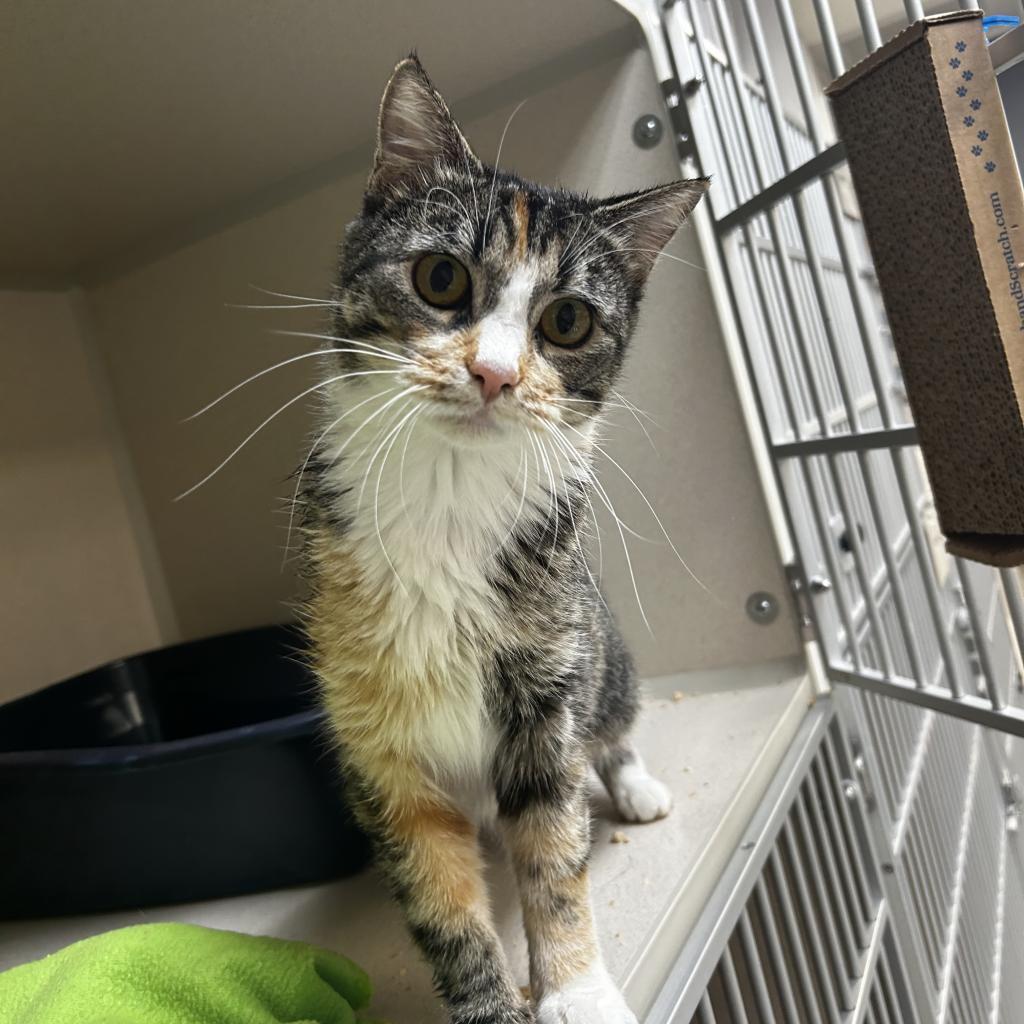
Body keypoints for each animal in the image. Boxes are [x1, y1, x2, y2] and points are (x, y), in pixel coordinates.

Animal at [299, 54, 708, 1024]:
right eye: (440, 278)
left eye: (568, 322)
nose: (493, 373)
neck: (448, 507)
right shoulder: (377, 741)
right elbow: (436, 893)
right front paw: (488, 1000)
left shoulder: (548, 687)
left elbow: (554, 850)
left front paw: (579, 988)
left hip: (601, 651)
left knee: (613, 723)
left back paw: (634, 785)